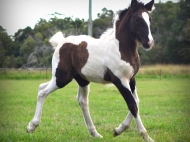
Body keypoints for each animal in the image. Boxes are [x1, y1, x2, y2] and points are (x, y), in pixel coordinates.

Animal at [26, 0, 154, 141]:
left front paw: (118, 130)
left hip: (81, 80)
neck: (121, 49)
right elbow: (132, 105)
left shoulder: (131, 79)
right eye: (137, 19)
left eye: (150, 18)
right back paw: (31, 126)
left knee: (82, 101)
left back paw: (95, 133)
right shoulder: (120, 79)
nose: (149, 43)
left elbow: (136, 102)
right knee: (42, 91)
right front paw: (146, 136)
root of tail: (61, 42)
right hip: (61, 78)